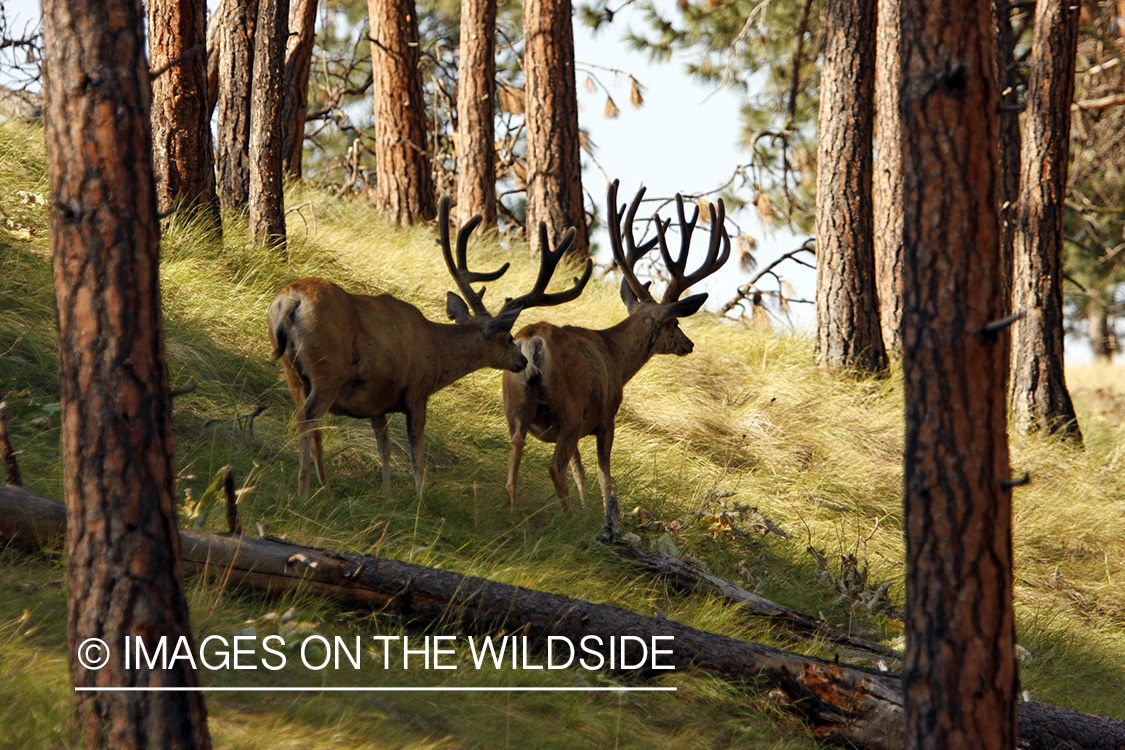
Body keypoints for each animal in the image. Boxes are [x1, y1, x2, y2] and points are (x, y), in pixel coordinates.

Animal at [268, 196, 592, 499]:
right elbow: (417, 455)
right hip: (328, 367)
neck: (435, 352)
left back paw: (324, 488)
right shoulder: (416, 391)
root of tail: (289, 299)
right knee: (307, 416)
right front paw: (420, 496)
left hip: (292, 369)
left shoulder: (377, 401)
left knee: (308, 420)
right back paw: (305, 491)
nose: (522, 361)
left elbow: (384, 448)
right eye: (509, 337)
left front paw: (387, 495)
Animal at [503, 180, 730, 538]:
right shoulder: (607, 416)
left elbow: (581, 471)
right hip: (569, 407)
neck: (617, 358)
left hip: (515, 403)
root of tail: (534, 341)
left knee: (515, 452)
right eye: (676, 323)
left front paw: (588, 509)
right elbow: (604, 477)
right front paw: (605, 519)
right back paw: (568, 521)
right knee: (554, 466)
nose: (689, 344)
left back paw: (513, 510)